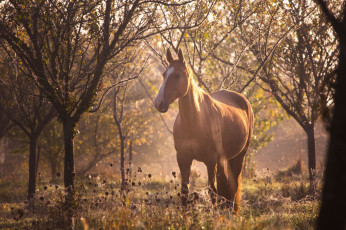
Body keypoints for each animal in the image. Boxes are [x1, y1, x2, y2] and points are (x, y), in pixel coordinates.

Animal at [154, 48, 254, 214]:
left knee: (231, 188)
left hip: (239, 156)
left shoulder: (210, 160)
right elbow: (184, 192)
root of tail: (243, 101)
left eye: (177, 75)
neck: (194, 122)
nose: (158, 103)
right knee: (225, 187)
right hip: (224, 160)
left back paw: (229, 214)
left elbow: (212, 192)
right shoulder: (183, 158)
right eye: (164, 75)